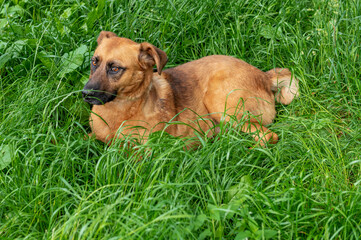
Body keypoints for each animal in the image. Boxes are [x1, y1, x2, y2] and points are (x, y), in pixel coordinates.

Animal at [82, 30, 298, 146]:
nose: (85, 94)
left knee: (268, 136)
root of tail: (265, 76)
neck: (119, 113)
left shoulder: (147, 153)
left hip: (220, 101)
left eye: (115, 68)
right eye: (94, 62)